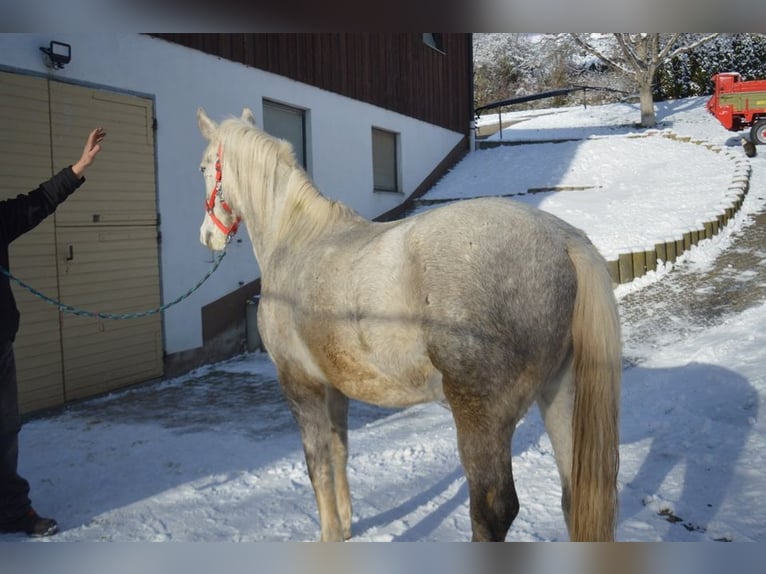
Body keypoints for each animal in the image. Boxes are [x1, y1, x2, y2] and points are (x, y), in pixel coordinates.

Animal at [195, 108, 620, 544]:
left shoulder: (300, 383)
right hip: (560, 394)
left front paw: (330, 535)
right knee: (573, 495)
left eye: (204, 167)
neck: (297, 240)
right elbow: (339, 452)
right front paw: (345, 528)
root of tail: (564, 240)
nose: (208, 236)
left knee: (493, 511)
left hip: (482, 416)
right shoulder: (333, 386)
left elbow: (318, 465)